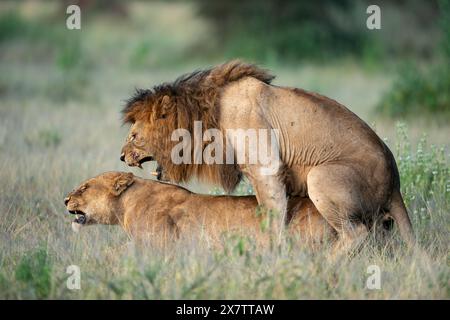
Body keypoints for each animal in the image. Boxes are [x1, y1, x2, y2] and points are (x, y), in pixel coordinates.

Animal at [120, 59, 414, 250]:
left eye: (134, 136)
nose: (122, 157)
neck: (207, 115)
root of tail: (395, 184)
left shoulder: (266, 169)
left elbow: (272, 217)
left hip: (320, 176)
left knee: (357, 234)